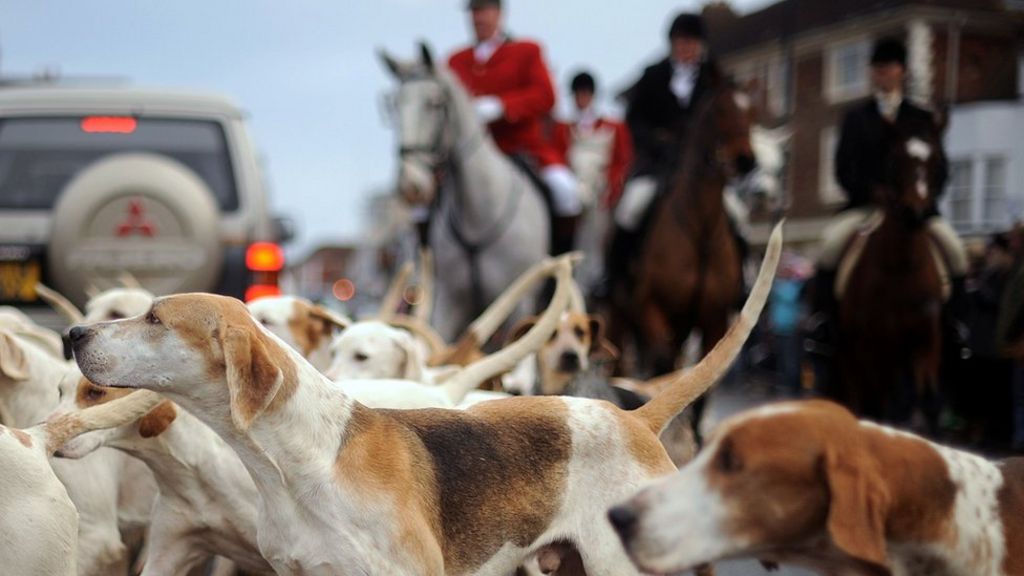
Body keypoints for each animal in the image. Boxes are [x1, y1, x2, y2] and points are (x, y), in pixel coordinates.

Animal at [606, 81, 761, 434]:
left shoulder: (714, 318)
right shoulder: (651, 307)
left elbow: (701, 387)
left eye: (753, 112)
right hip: (622, 315)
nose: (745, 160)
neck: (700, 227)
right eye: (721, 109)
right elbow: (662, 365)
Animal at [835, 124, 946, 430]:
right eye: (895, 160)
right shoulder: (870, 350)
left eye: (936, 163)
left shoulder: (925, 343)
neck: (901, 268)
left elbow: (924, 398)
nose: (915, 212)